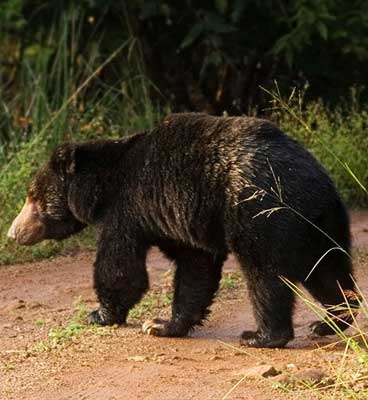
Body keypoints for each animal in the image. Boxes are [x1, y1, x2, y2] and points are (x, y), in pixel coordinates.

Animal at [6, 111, 356, 346]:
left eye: (32, 196)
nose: (12, 233)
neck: (98, 188)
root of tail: (314, 181)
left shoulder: (127, 210)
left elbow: (120, 267)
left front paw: (101, 314)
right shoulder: (176, 216)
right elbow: (195, 267)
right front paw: (163, 324)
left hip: (262, 214)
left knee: (266, 274)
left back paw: (262, 335)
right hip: (322, 223)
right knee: (328, 270)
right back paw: (332, 320)